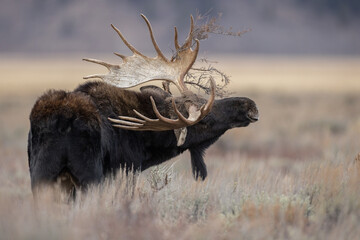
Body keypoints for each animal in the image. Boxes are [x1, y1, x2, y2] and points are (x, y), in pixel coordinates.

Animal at [28, 14, 258, 196]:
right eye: (205, 118)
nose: (250, 105)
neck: (148, 142)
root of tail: (63, 119)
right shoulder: (127, 167)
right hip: (87, 174)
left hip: (41, 175)